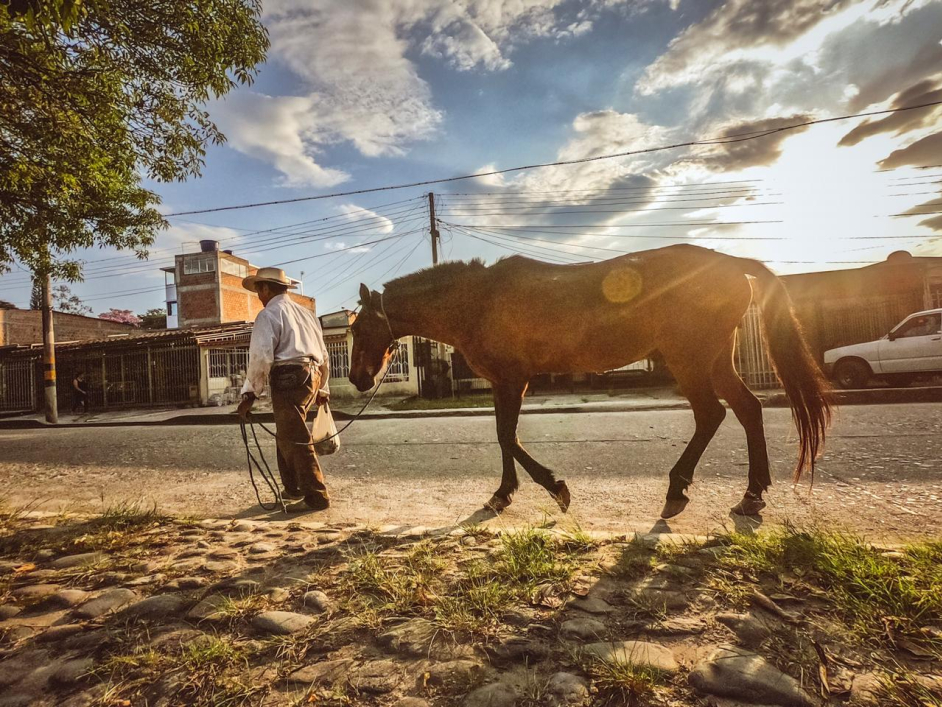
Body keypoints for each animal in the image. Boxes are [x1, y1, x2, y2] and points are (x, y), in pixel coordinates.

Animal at [348, 244, 831, 519]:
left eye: (359, 328)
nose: (356, 378)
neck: (477, 300)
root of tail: (730, 262)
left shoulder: (513, 380)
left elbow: (507, 437)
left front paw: (554, 487)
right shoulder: (506, 384)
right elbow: (505, 437)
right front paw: (503, 494)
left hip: (690, 360)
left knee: (711, 414)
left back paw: (678, 487)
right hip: (714, 360)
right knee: (748, 408)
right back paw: (751, 493)